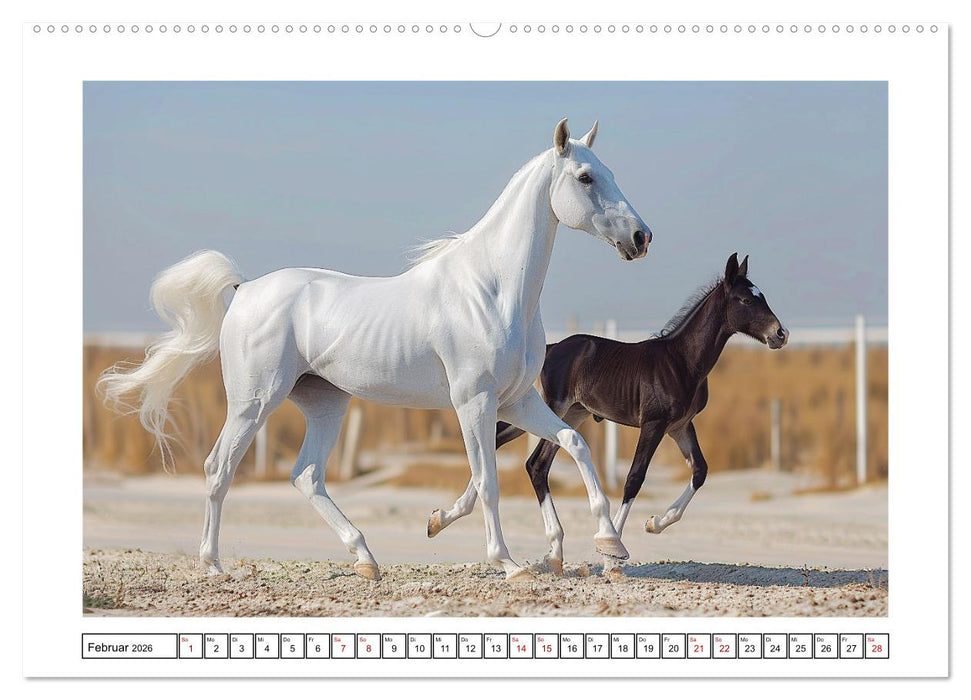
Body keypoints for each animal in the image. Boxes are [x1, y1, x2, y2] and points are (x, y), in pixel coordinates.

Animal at [97, 119, 652, 582]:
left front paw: (608, 544)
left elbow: (573, 445)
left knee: (306, 476)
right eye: (585, 177)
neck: (491, 289)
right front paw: (510, 564)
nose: (641, 237)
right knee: (219, 469)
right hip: (254, 403)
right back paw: (213, 566)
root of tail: (245, 288)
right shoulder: (473, 401)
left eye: (608, 172)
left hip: (325, 404)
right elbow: (488, 480)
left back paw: (365, 559)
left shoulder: (517, 400)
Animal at [427, 253, 788, 577]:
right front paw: (611, 555)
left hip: (569, 415)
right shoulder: (654, 424)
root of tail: (551, 349)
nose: (780, 334)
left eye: (763, 296)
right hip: (553, 409)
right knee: (526, 458)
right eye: (745, 299)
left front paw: (654, 523)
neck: (683, 361)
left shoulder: (681, 426)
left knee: (527, 459)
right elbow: (634, 478)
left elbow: (699, 471)